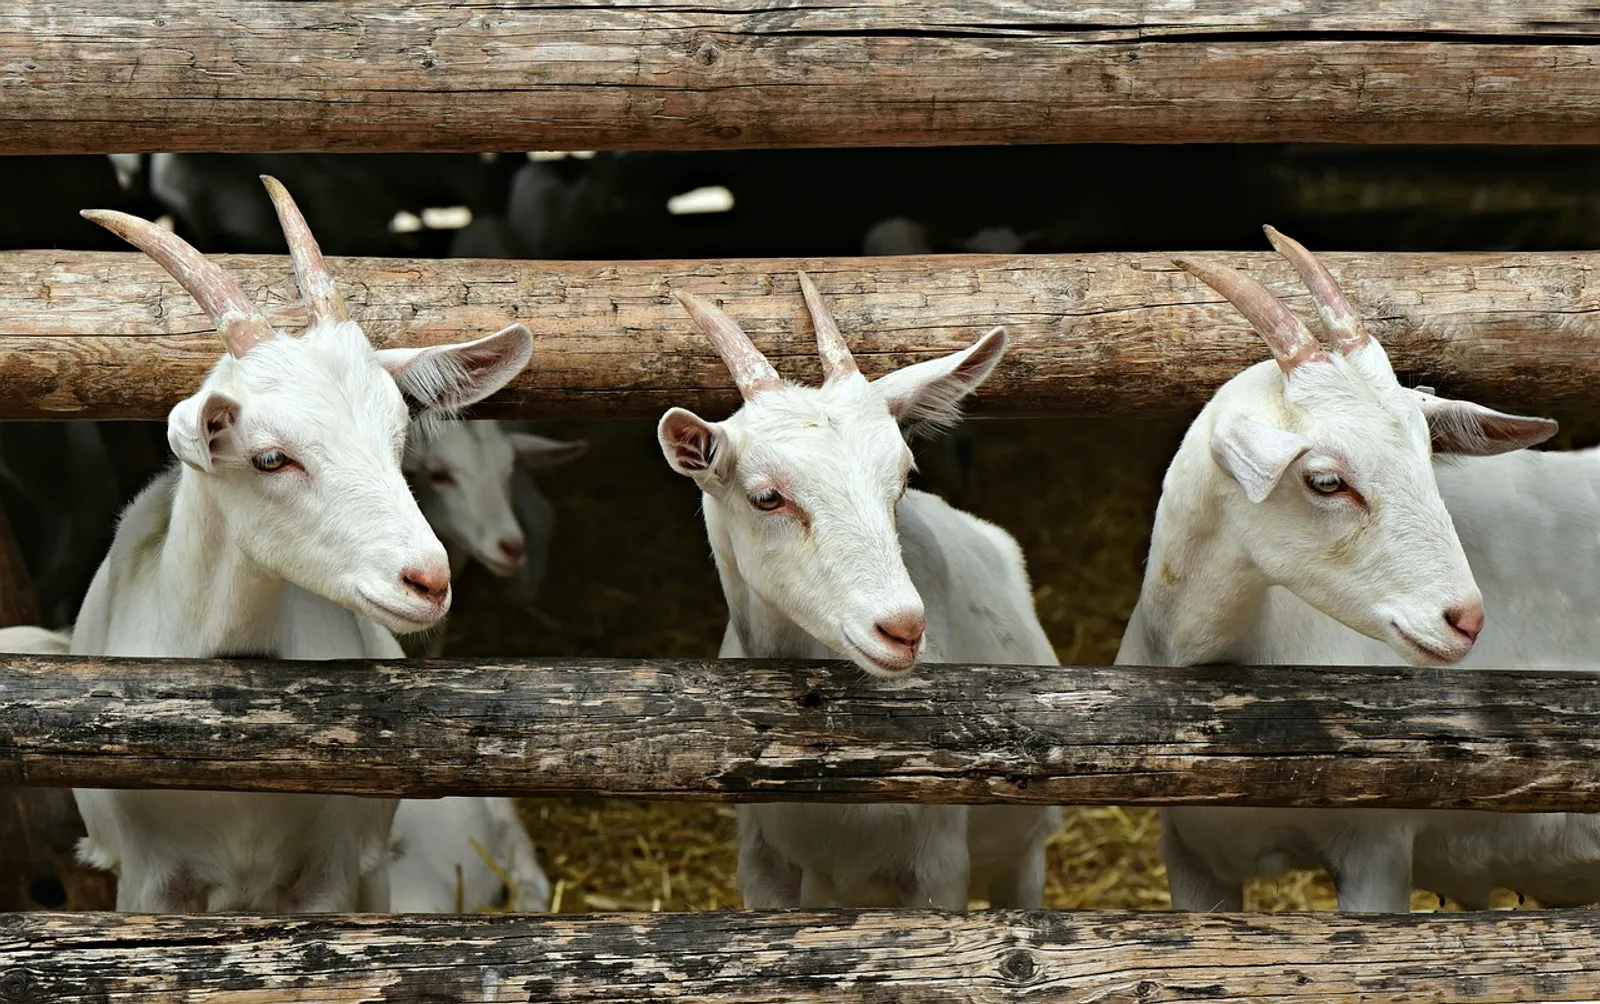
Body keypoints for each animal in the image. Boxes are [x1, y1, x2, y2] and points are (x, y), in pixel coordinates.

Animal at [656, 274, 1056, 908]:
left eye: (904, 475)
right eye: (767, 497)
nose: (903, 629)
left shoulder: (938, 865)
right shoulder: (763, 860)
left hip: (1025, 852)